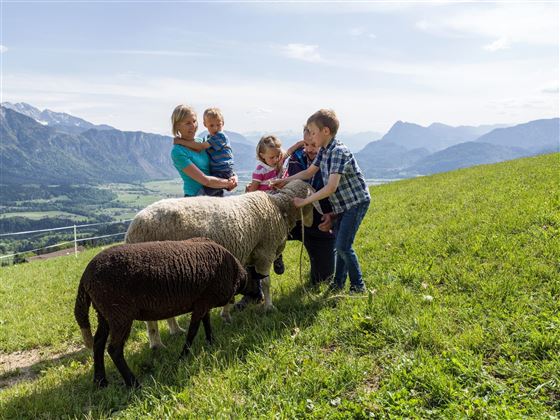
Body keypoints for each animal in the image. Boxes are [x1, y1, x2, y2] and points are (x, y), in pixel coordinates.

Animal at [124, 180, 312, 348]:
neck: (279, 206)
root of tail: (133, 230)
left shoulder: (242, 257)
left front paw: (226, 316)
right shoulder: (265, 252)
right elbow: (265, 282)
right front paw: (269, 307)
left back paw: (175, 331)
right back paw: (157, 344)